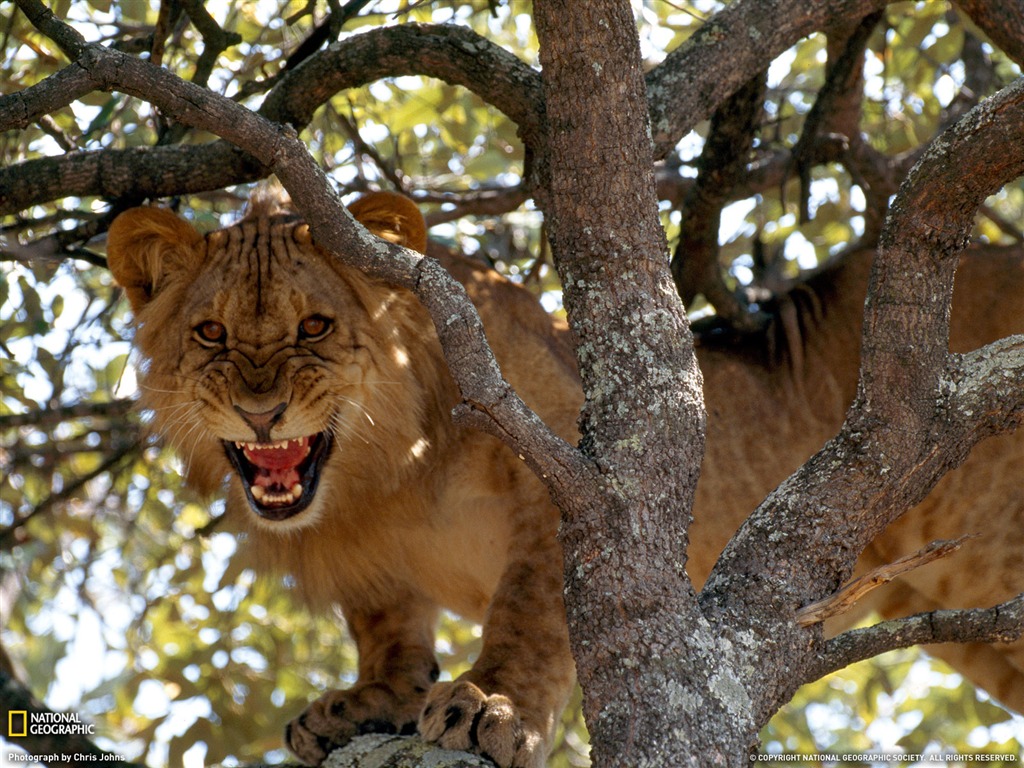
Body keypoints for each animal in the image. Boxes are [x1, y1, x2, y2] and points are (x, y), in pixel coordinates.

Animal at [108, 189, 1019, 765]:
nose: (262, 414)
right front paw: (369, 700)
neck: (382, 471)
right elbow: (387, 626)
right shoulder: (368, 562)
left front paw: (490, 707)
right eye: (212, 332)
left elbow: (529, 616)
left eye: (315, 327)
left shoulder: (567, 481)